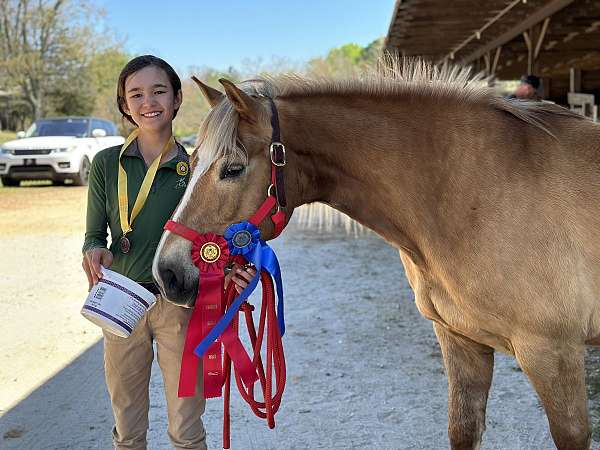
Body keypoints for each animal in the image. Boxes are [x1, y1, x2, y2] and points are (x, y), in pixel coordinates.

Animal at [151, 58, 600, 448]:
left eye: (232, 169)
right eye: (191, 162)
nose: (167, 272)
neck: (477, 190)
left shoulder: (551, 354)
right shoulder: (461, 341)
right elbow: (463, 430)